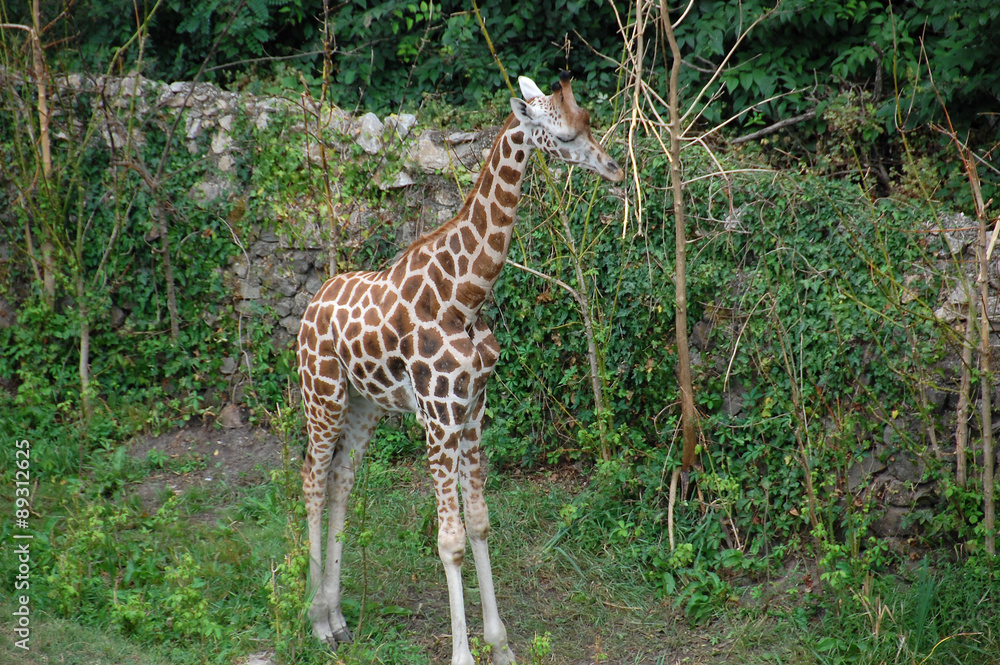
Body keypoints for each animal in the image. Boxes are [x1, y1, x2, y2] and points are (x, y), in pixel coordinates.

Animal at [297, 71, 624, 665]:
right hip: (323, 394)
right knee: (312, 477)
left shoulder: (472, 411)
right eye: (565, 136)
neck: (464, 297)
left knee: (340, 480)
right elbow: (448, 542)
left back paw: (337, 618)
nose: (613, 169)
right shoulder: (438, 416)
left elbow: (479, 524)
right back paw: (316, 623)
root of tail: (309, 308)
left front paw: (502, 646)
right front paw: (464, 654)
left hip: (364, 405)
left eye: (589, 121)